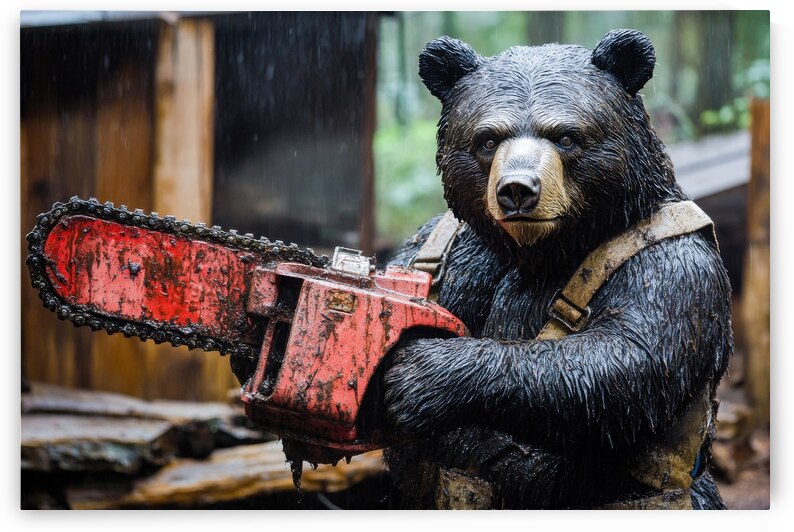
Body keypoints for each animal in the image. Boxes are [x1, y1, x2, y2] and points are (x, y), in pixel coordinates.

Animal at [381, 29, 733, 510]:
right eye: (487, 139)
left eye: (566, 136)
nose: (517, 190)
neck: (541, 252)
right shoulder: (446, 247)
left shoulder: (669, 265)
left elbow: (626, 361)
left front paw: (420, 373)